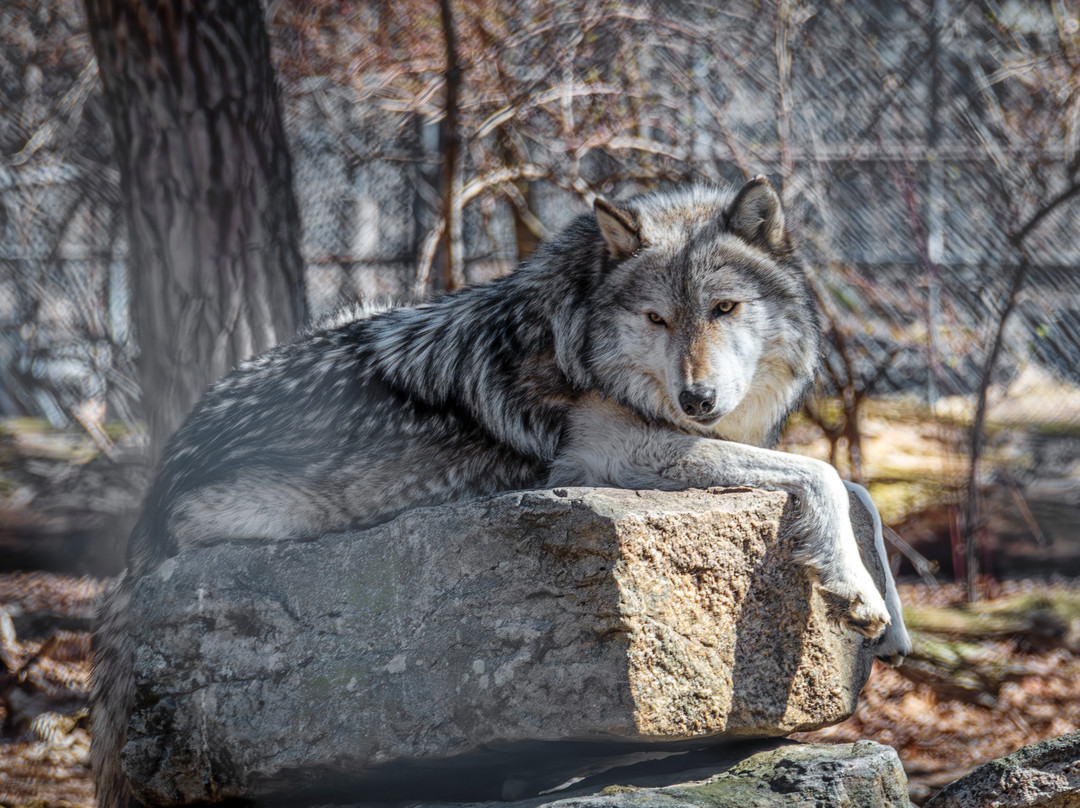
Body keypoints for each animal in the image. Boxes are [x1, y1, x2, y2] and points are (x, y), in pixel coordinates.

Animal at [92, 176, 911, 808]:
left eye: (725, 309)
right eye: (657, 318)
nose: (697, 398)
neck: (581, 328)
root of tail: (161, 474)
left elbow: (860, 490)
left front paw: (894, 624)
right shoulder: (613, 452)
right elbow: (825, 474)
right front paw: (855, 594)